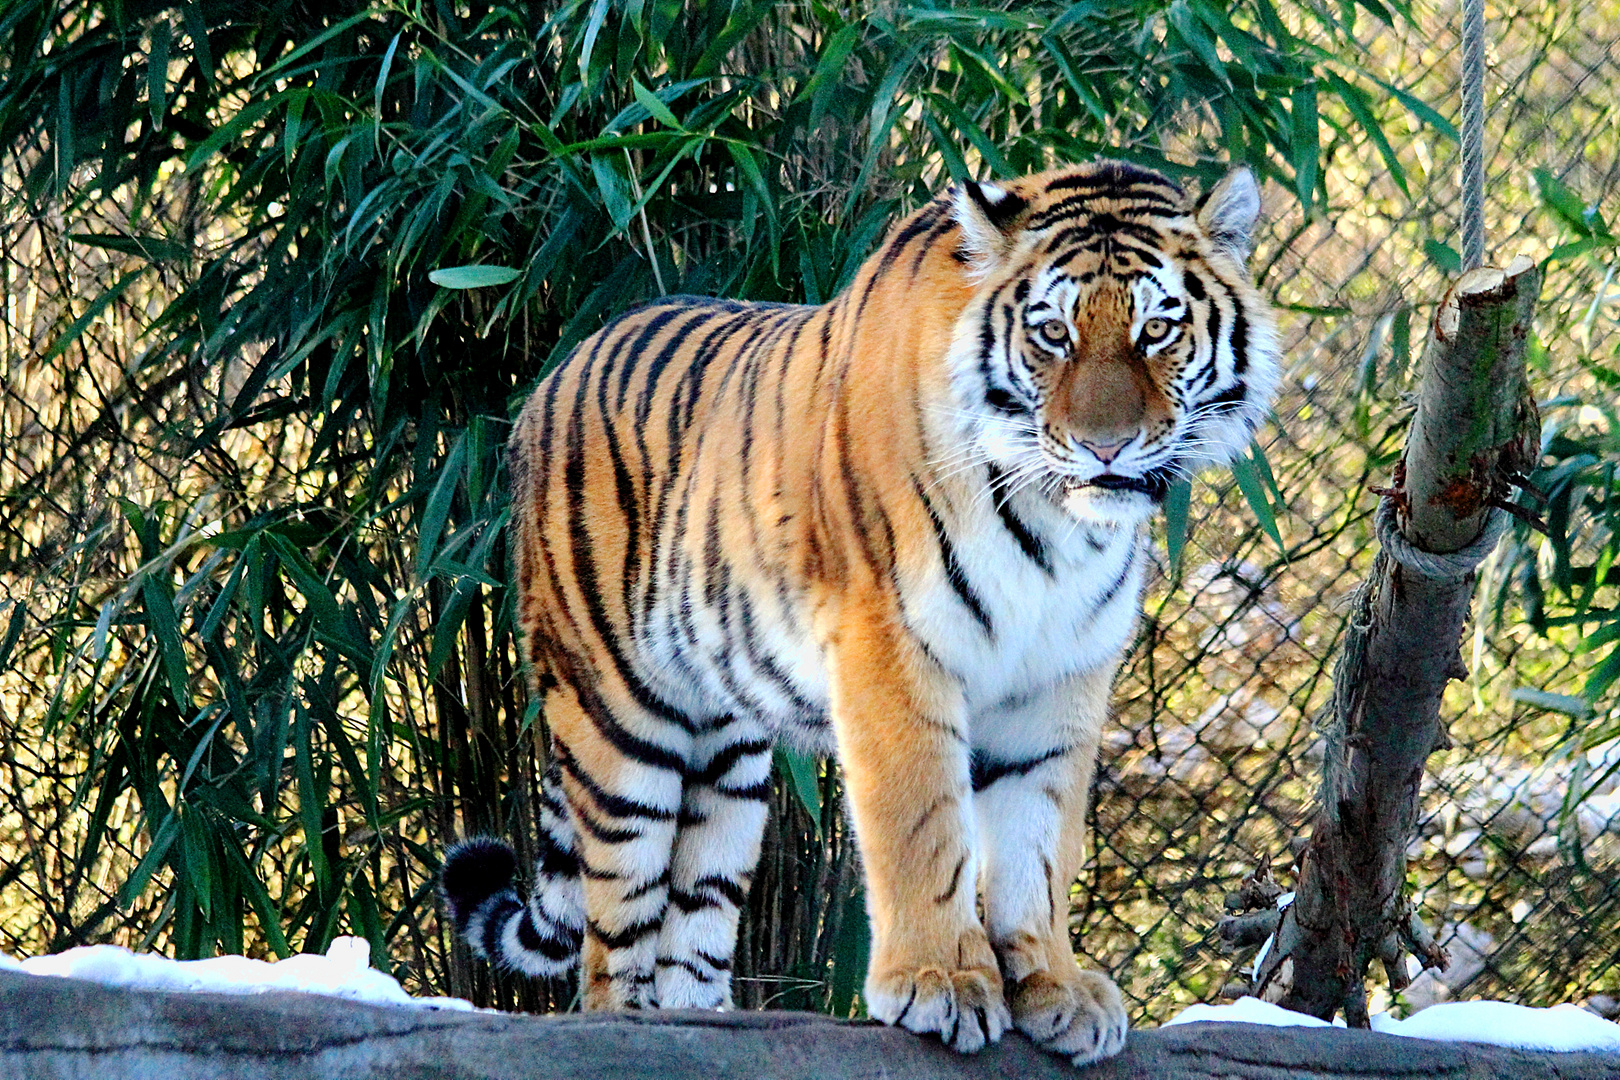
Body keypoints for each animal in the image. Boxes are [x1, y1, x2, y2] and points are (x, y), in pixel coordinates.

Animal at [440, 160, 1276, 1062]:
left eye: (1158, 329)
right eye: (1053, 334)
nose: (1105, 447)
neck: (1060, 526)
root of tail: (552, 373)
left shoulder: (1061, 674)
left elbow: (1041, 841)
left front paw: (1056, 988)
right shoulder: (894, 646)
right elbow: (922, 824)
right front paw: (941, 982)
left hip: (727, 760)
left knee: (694, 916)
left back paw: (709, 1025)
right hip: (619, 720)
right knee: (612, 934)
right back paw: (632, 1031)